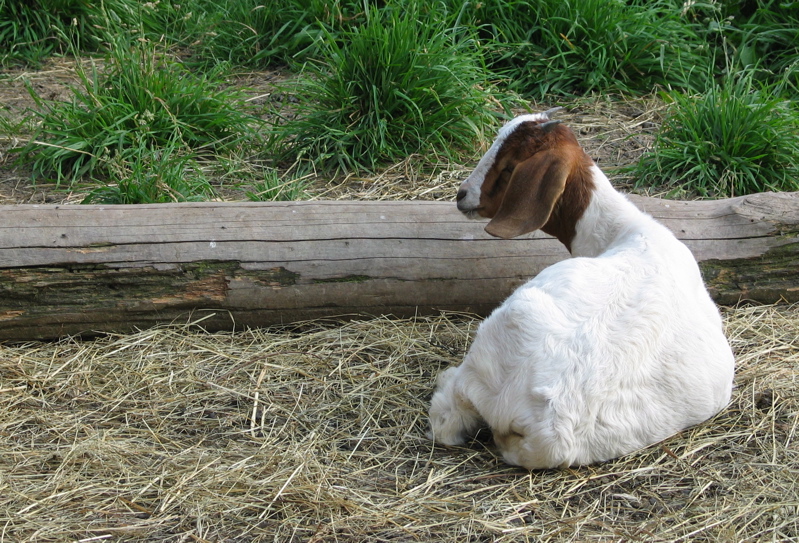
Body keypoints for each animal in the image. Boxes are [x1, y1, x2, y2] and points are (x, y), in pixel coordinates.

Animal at [428, 110, 736, 472]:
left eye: (509, 167)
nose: (462, 195)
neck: (623, 230)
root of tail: (547, 425)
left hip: (499, 335)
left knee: (446, 419)